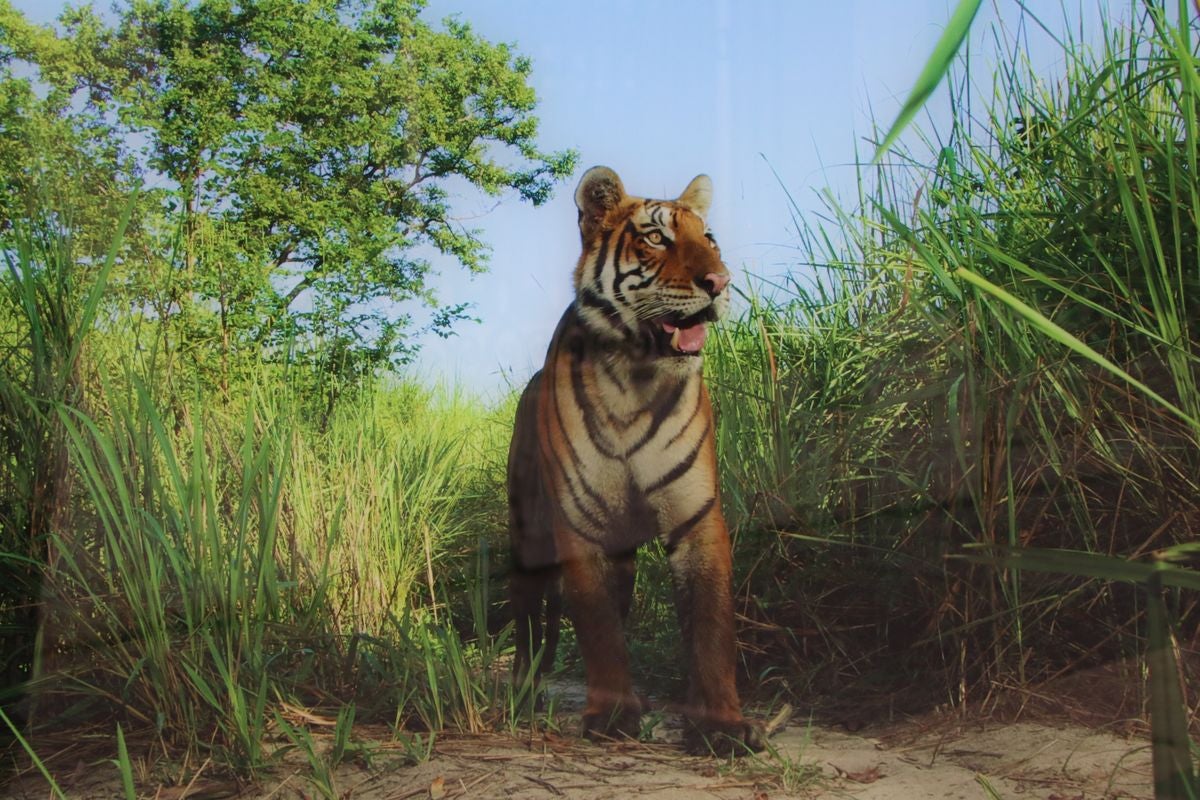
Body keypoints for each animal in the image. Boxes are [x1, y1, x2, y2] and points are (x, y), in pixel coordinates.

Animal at [504, 165, 763, 753]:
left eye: (709, 239)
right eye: (656, 238)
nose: (720, 282)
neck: (635, 375)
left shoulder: (697, 517)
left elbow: (711, 627)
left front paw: (721, 725)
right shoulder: (578, 525)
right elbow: (597, 628)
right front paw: (611, 716)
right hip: (528, 532)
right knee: (529, 618)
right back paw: (523, 694)